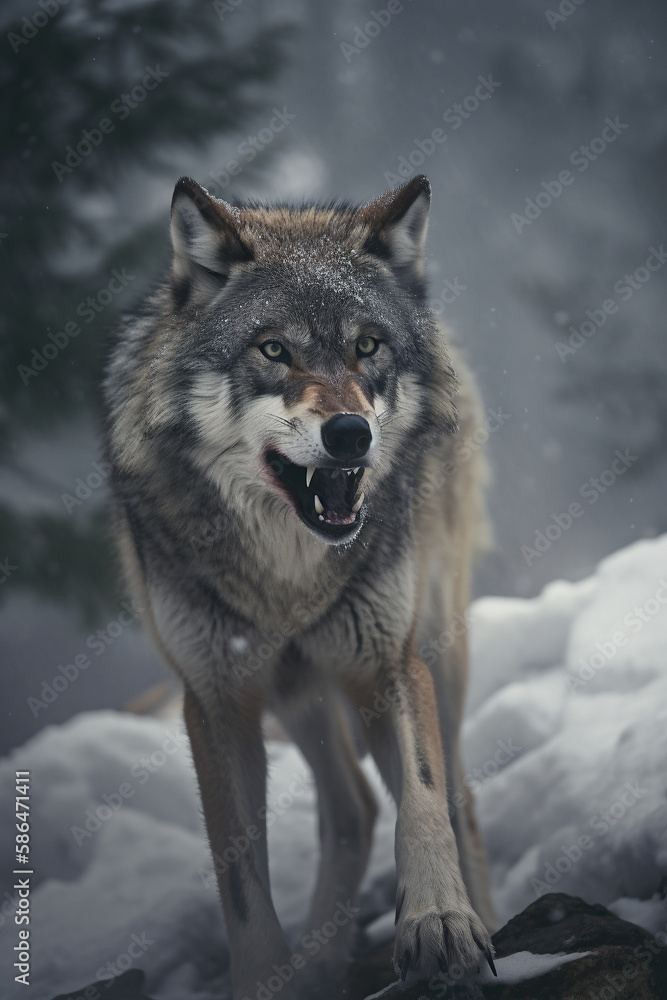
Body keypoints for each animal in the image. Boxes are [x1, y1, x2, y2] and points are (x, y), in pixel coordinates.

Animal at [103, 173, 497, 998]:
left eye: (367, 346)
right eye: (273, 349)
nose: (350, 434)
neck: (287, 577)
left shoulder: (387, 663)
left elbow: (422, 799)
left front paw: (439, 922)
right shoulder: (215, 699)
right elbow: (239, 877)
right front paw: (265, 976)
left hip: (428, 655)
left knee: (456, 797)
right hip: (297, 691)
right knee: (352, 807)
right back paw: (316, 968)